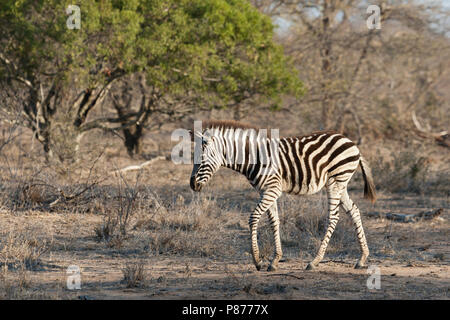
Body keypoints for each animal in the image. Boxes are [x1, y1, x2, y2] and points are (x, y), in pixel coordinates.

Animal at [190, 120, 376, 272]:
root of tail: (350, 141)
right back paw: (362, 258)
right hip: (341, 184)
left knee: (334, 217)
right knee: (354, 211)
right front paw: (275, 261)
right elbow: (274, 221)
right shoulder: (266, 190)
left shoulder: (272, 189)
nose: (192, 185)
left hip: (335, 181)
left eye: (202, 159)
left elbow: (253, 217)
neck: (254, 157)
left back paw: (314, 261)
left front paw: (257, 261)